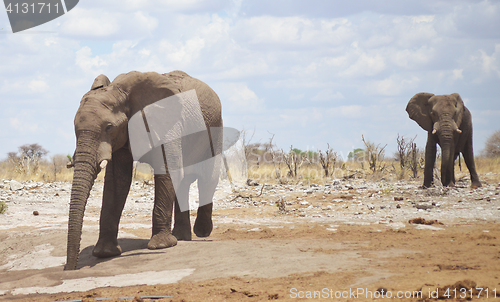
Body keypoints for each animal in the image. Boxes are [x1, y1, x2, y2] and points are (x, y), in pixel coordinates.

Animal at [65, 70, 222, 268]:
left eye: (109, 127)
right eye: (74, 129)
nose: (70, 268)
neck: (123, 92)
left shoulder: (167, 126)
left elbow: (167, 171)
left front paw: (161, 245)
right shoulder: (122, 137)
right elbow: (117, 181)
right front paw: (105, 253)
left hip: (215, 129)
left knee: (208, 177)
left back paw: (201, 232)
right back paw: (181, 237)